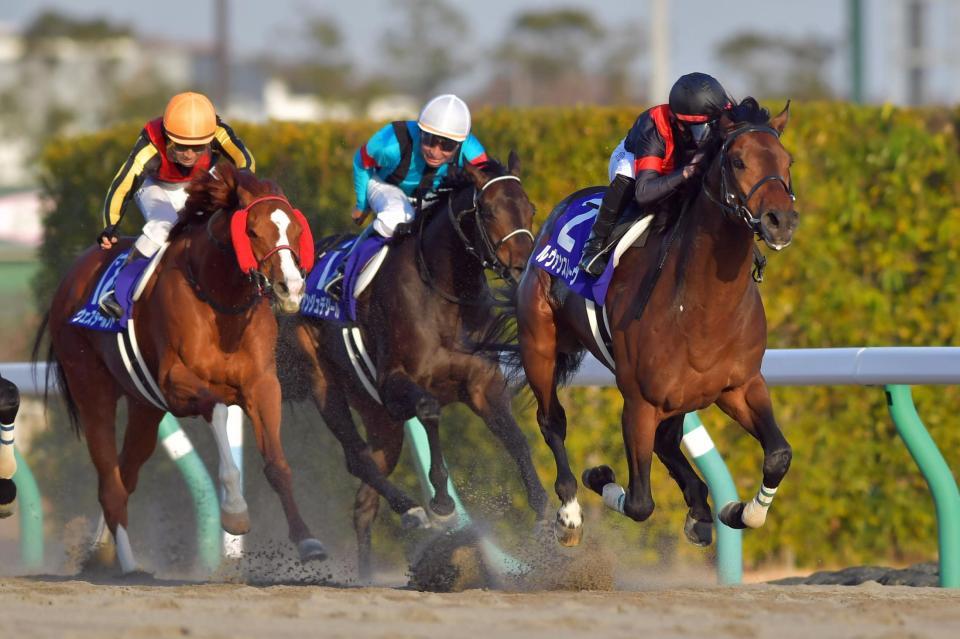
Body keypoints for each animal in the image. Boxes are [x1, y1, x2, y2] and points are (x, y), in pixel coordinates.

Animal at [33, 163, 327, 572]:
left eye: (297, 231)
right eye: (252, 231)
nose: (292, 289)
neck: (220, 300)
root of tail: (71, 278)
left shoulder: (262, 384)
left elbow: (277, 464)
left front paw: (307, 540)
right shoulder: (177, 384)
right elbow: (218, 413)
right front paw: (235, 511)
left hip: (144, 407)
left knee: (125, 474)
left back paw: (101, 552)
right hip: (92, 389)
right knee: (110, 482)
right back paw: (129, 565)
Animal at [284, 154, 548, 578]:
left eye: (530, 208)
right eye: (489, 211)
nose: (523, 268)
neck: (444, 296)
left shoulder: (482, 385)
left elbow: (516, 438)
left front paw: (549, 513)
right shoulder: (395, 382)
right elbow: (430, 410)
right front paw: (441, 501)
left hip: (381, 418)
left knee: (364, 502)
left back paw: (370, 571)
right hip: (324, 383)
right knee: (356, 457)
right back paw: (410, 510)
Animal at [514, 98, 798, 547]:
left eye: (787, 161)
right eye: (737, 160)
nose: (780, 221)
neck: (701, 308)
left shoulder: (740, 386)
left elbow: (778, 454)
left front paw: (741, 510)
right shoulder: (639, 403)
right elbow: (639, 503)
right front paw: (600, 476)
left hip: (681, 396)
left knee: (668, 442)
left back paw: (700, 506)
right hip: (538, 345)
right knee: (551, 420)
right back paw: (570, 512)